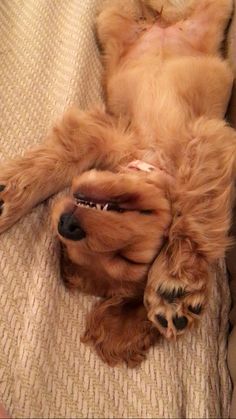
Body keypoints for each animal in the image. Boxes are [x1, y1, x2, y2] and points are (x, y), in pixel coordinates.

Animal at [0, 0, 236, 368]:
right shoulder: (103, 134)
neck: (153, 157)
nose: (67, 225)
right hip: (117, 13)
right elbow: (54, 165)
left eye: (128, 258)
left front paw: (175, 283)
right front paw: (8, 200)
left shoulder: (210, 137)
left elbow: (197, 212)